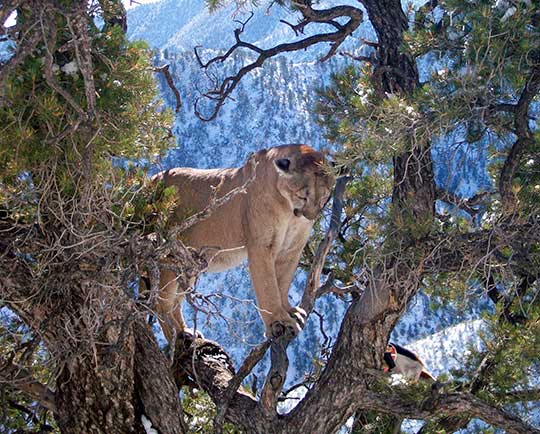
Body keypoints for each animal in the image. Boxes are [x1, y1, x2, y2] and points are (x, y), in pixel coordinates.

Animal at [151, 144, 335, 341]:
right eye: (303, 196)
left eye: (325, 196)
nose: (312, 216)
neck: (289, 211)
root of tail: (151, 179)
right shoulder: (261, 246)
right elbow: (268, 286)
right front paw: (279, 321)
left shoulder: (291, 250)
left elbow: (282, 283)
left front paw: (289, 311)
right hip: (168, 257)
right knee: (160, 303)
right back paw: (176, 336)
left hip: (189, 264)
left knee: (176, 301)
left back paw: (187, 332)